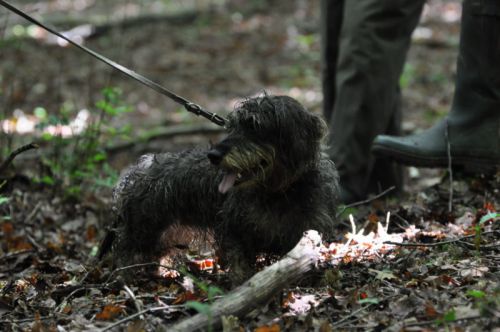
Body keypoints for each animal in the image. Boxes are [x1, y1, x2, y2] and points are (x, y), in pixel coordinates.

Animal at [107, 94, 338, 282]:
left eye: (255, 126)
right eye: (232, 127)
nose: (213, 156)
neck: (277, 191)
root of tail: (137, 170)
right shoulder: (235, 230)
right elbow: (239, 263)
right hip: (143, 230)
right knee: (126, 255)